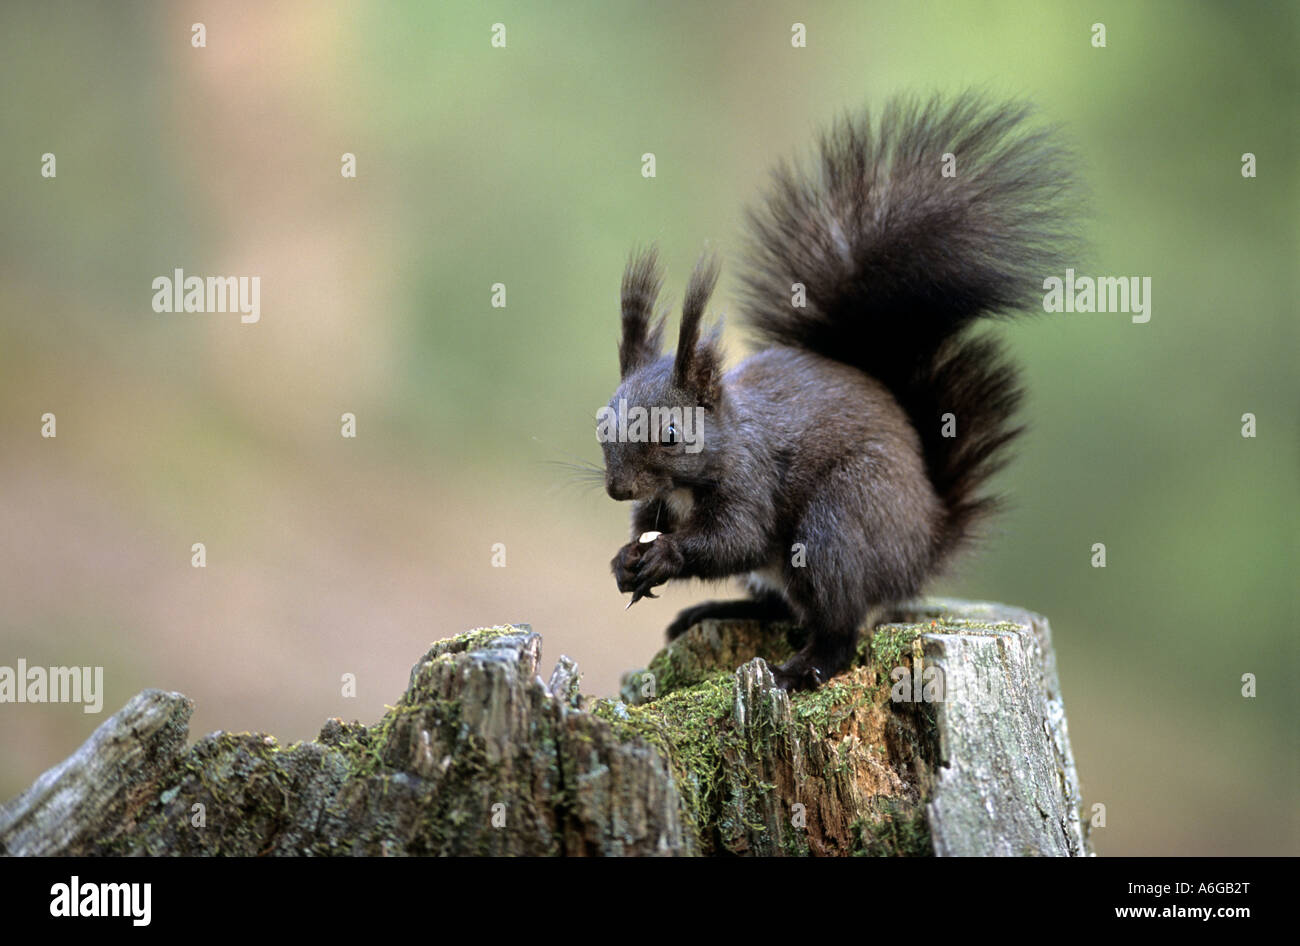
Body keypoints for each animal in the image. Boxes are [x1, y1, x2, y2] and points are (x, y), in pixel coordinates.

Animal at [598, 92, 1076, 691]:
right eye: (601, 425)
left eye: (669, 433)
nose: (618, 489)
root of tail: (923, 546)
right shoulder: (660, 503)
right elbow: (651, 528)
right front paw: (624, 560)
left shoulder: (751, 481)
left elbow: (736, 539)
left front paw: (665, 556)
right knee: (782, 605)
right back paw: (719, 610)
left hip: (839, 521)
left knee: (838, 625)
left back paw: (799, 670)